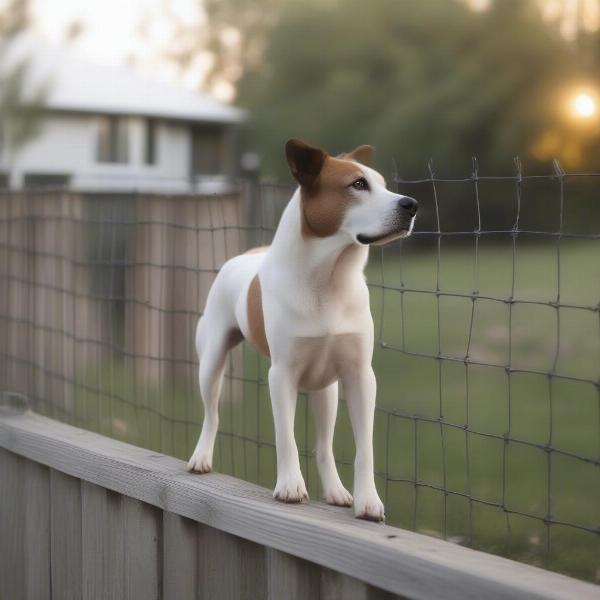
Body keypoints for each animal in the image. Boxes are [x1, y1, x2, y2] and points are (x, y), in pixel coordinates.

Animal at [188, 139, 418, 520]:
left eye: (383, 184)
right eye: (358, 185)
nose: (411, 205)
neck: (329, 281)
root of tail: (247, 254)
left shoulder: (359, 376)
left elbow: (365, 447)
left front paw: (367, 499)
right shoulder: (282, 375)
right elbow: (286, 437)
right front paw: (290, 486)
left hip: (327, 389)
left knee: (324, 445)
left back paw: (336, 490)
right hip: (211, 361)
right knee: (211, 414)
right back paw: (201, 457)